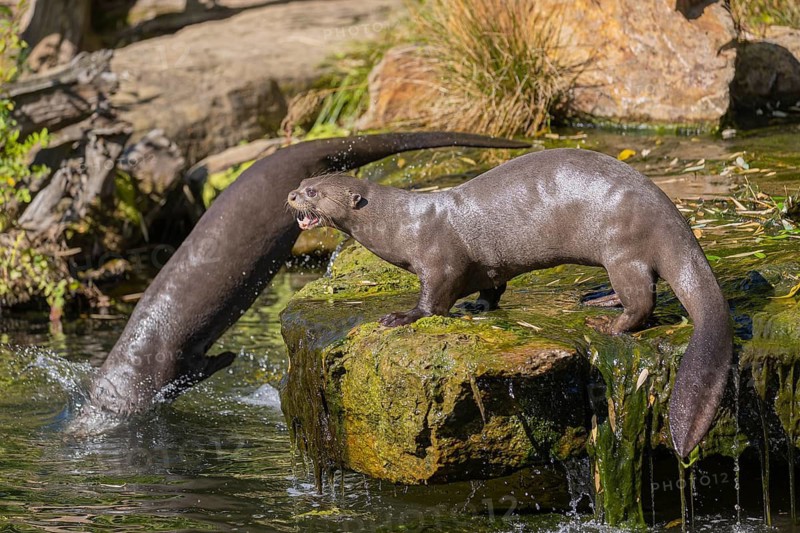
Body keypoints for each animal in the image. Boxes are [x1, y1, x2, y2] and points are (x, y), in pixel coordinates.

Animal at [287, 147, 732, 458]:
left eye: (313, 192)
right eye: (305, 180)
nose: (291, 194)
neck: (400, 224)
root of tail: (672, 217)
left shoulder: (439, 260)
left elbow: (433, 298)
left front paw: (402, 316)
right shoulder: (487, 267)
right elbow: (492, 288)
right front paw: (478, 307)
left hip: (622, 247)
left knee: (643, 299)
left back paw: (611, 323)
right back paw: (600, 301)